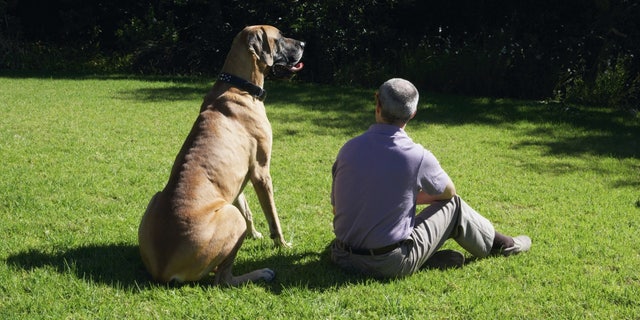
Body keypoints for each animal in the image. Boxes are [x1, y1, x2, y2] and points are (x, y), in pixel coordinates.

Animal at [139, 25, 304, 284]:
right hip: (231, 217)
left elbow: (247, 209)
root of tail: (165, 271)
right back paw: (261, 273)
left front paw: (254, 233)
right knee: (223, 279)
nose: (303, 44)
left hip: (156, 199)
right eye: (279, 38)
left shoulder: (239, 179)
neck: (240, 86)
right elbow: (273, 218)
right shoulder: (261, 173)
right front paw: (283, 244)